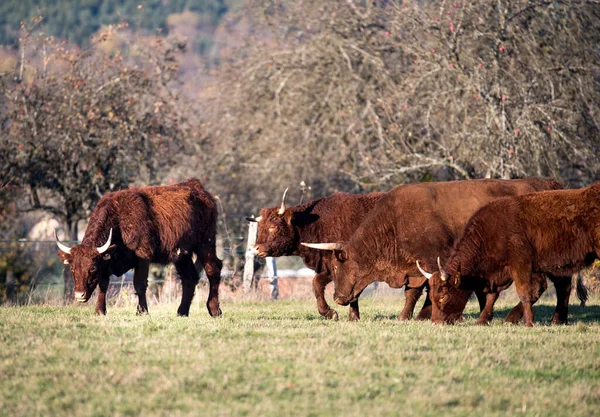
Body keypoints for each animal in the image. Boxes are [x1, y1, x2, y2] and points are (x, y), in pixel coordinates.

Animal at [54, 177, 221, 316]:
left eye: (92, 268)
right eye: (72, 268)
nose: (79, 295)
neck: (118, 218)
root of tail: (196, 186)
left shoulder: (143, 257)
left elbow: (139, 285)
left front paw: (142, 311)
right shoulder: (106, 262)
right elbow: (103, 285)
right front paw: (100, 310)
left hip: (206, 243)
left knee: (213, 270)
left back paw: (214, 309)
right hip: (182, 255)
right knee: (189, 278)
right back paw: (182, 312)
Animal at [304, 176, 564, 318]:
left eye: (337, 267)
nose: (338, 298)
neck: (395, 221)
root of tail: (546, 183)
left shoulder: (434, 261)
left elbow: (429, 288)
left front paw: (424, 315)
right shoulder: (414, 268)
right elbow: (413, 292)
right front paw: (405, 316)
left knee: (548, 286)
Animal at [418, 184, 596, 326]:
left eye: (443, 296)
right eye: (431, 296)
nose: (436, 322)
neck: (490, 232)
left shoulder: (520, 265)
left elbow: (525, 292)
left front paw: (529, 322)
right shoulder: (498, 273)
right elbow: (492, 296)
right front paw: (482, 320)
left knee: (558, 288)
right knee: (563, 287)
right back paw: (557, 320)